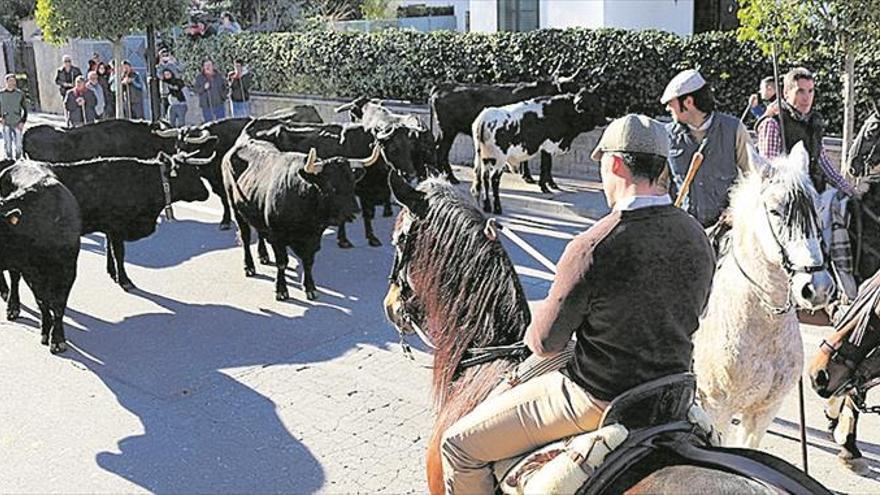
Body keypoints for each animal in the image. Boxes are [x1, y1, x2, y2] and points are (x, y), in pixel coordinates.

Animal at [468, 88, 604, 212]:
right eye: (591, 106)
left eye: (598, 102)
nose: (605, 120)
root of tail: (485, 117)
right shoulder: (548, 146)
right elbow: (545, 167)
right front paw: (545, 187)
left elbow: (548, 167)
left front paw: (552, 184)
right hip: (499, 160)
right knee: (494, 179)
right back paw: (497, 208)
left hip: (485, 158)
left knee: (484, 178)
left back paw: (486, 206)